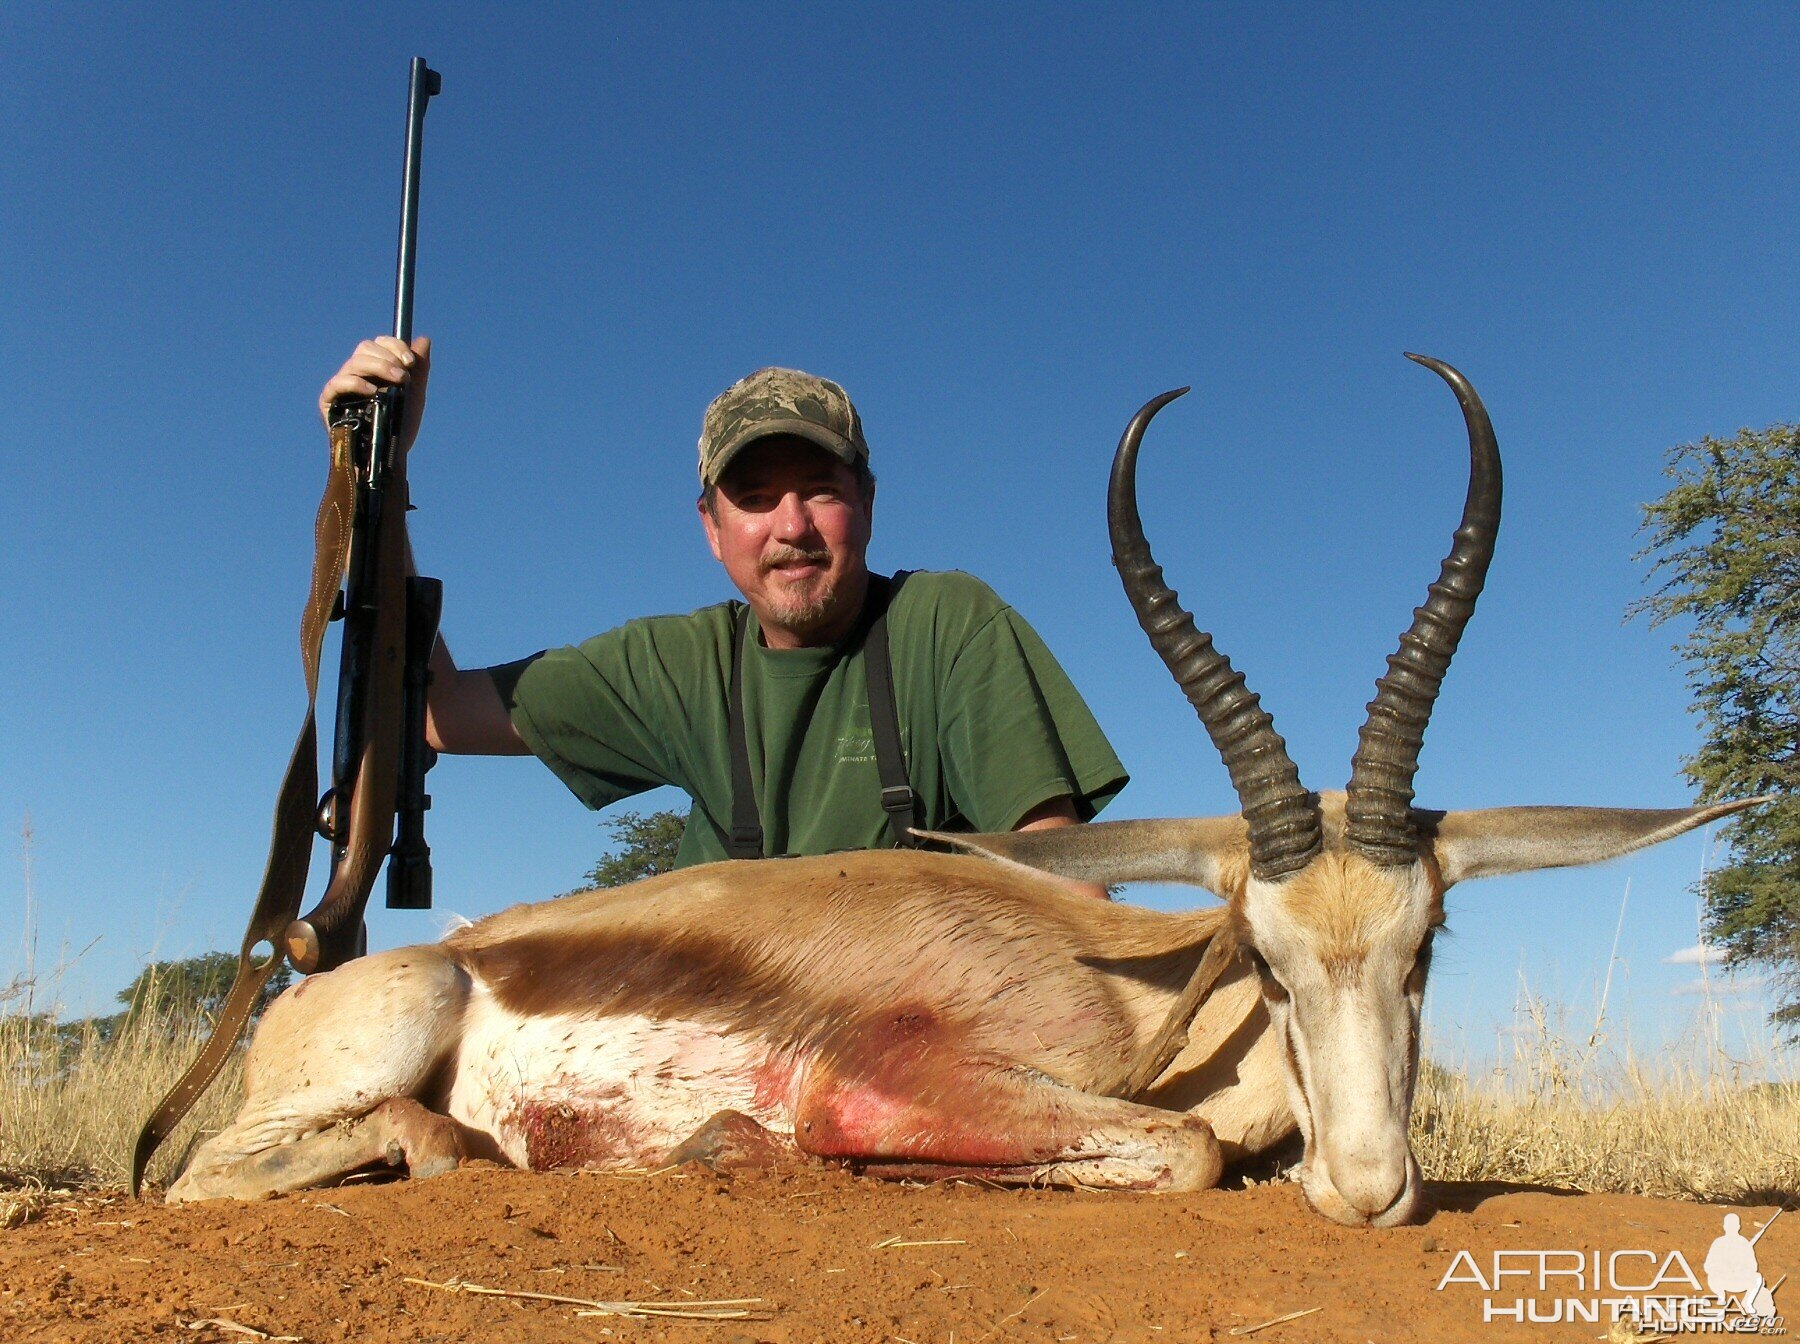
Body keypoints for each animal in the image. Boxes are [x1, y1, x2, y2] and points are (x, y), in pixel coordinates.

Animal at [169, 352, 1756, 1223]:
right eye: (1264, 955)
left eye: (1430, 944)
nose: (1371, 1192)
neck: (1138, 991)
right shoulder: (908, 1083)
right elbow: (1181, 1151)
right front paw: (766, 1149)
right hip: (392, 1029)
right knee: (211, 1176)